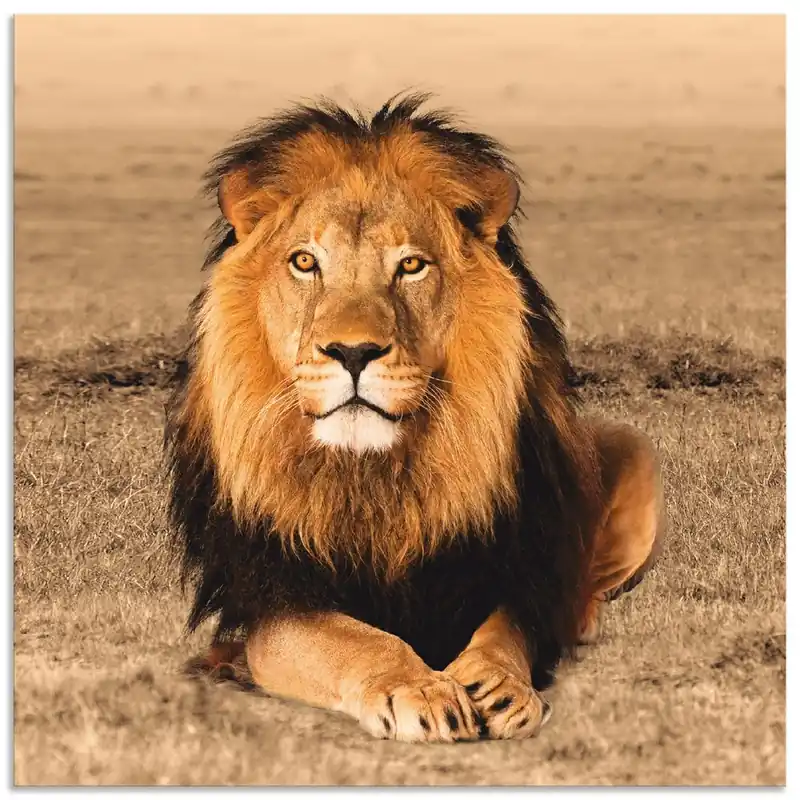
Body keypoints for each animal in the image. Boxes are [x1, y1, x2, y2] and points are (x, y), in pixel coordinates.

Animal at [165, 93, 664, 743]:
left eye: (410, 266)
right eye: (304, 262)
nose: (353, 352)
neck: (375, 474)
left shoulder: (505, 571)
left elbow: (506, 632)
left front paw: (498, 685)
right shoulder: (275, 598)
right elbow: (354, 640)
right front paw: (420, 689)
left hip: (633, 451)